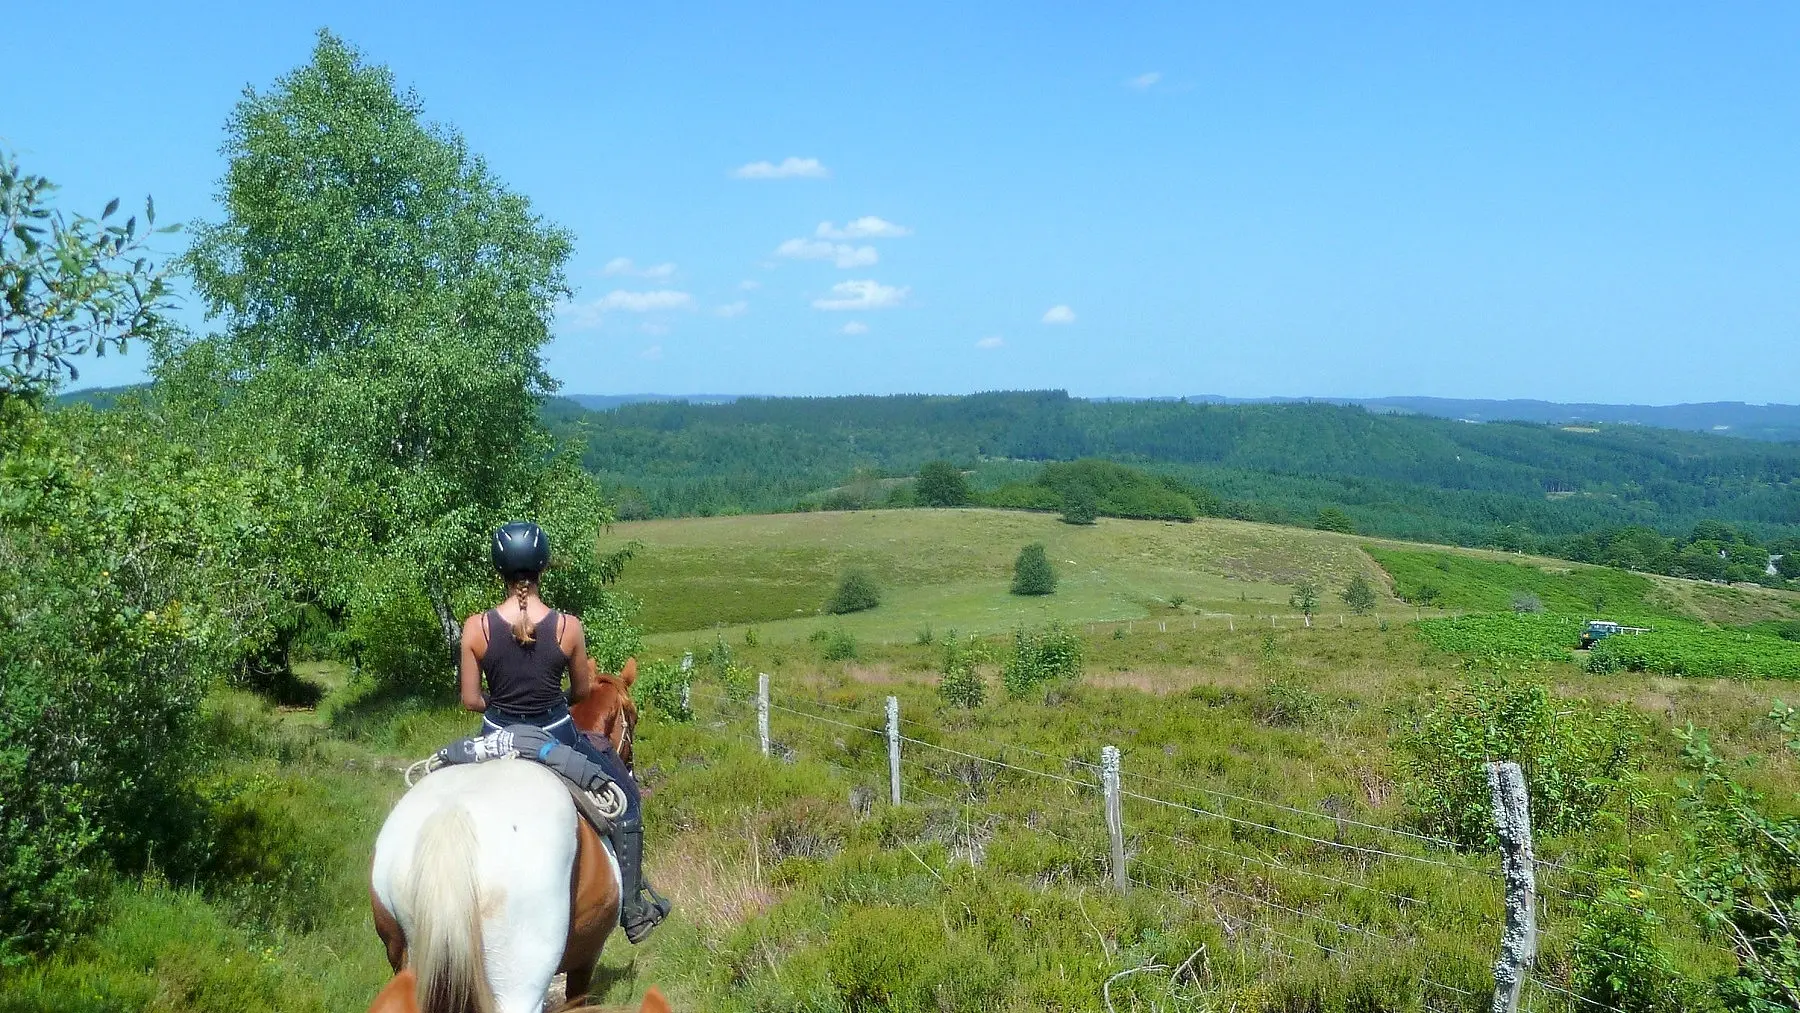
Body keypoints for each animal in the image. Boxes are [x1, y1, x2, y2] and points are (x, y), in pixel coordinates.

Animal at [363, 662, 648, 1007]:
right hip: (519, 981)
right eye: (633, 715)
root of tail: (451, 818)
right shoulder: (587, 956)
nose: (630, 767)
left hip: (404, 960)